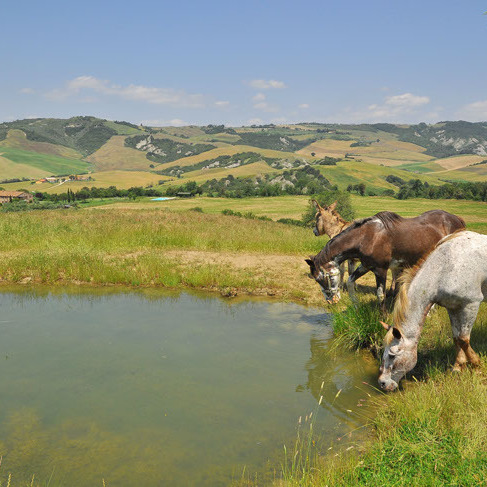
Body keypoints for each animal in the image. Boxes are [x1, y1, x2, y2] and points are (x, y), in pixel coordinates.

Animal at [306, 211, 468, 308]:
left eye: (322, 278)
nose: (331, 301)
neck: (366, 237)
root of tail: (457, 220)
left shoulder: (381, 270)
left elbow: (380, 294)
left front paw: (381, 317)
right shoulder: (366, 265)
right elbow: (350, 282)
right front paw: (356, 305)